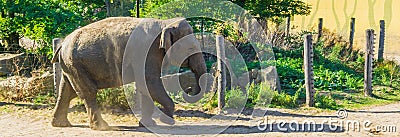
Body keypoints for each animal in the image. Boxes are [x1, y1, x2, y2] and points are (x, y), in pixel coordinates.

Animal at [51, 16, 208, 130]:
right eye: (191, 48)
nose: (189, 89)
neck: (165, 23)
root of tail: (62, 43)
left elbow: (145, 86)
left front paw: (148, 125)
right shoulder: (146, 51)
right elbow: (149, 83)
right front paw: (166, 121)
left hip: (71, 66)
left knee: (67, 91)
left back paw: (61, 124)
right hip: (75, 64)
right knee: (88, 92)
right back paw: (101, 127)